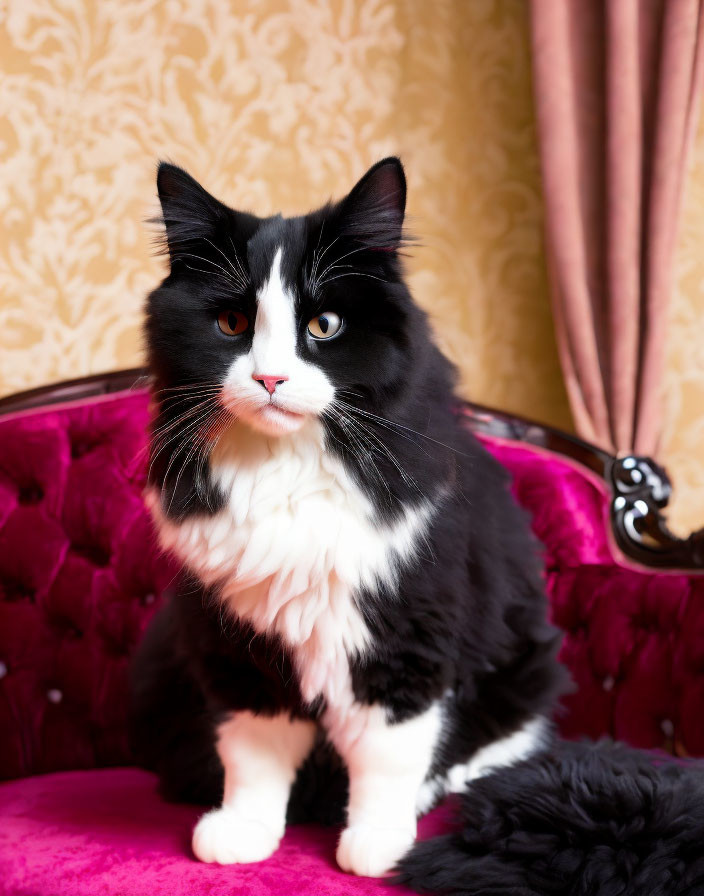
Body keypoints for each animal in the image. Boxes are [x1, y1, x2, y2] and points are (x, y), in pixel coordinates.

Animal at [128, 159, 704, 888]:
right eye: (232, 323)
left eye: (324, 325)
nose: (270, 378)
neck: (288, 468)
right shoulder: (238, 642)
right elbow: (253, 752)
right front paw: (245, 831)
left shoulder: (406, 634)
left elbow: (387, 755)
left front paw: (377, 842)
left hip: (523, 667)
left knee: (495, 744)